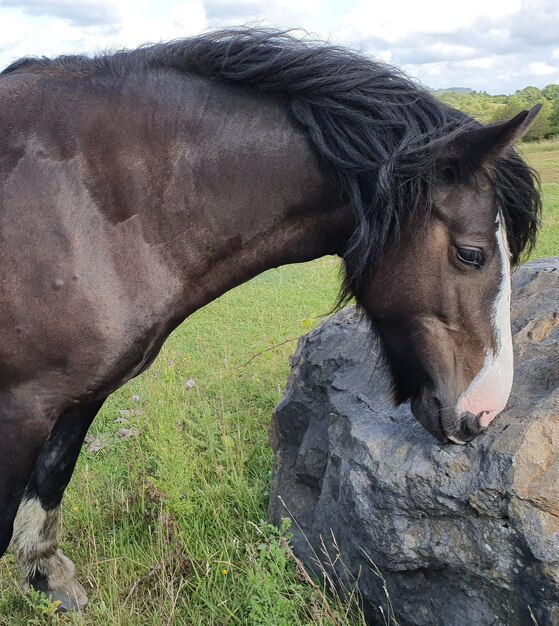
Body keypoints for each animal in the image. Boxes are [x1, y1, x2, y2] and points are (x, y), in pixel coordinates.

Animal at [0, 26, 544, 608]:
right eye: (471, 254)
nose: (484, 414)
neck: (83, 201)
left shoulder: (78, 393)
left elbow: (52, 474)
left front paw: (45, 574)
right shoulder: (23, 404)